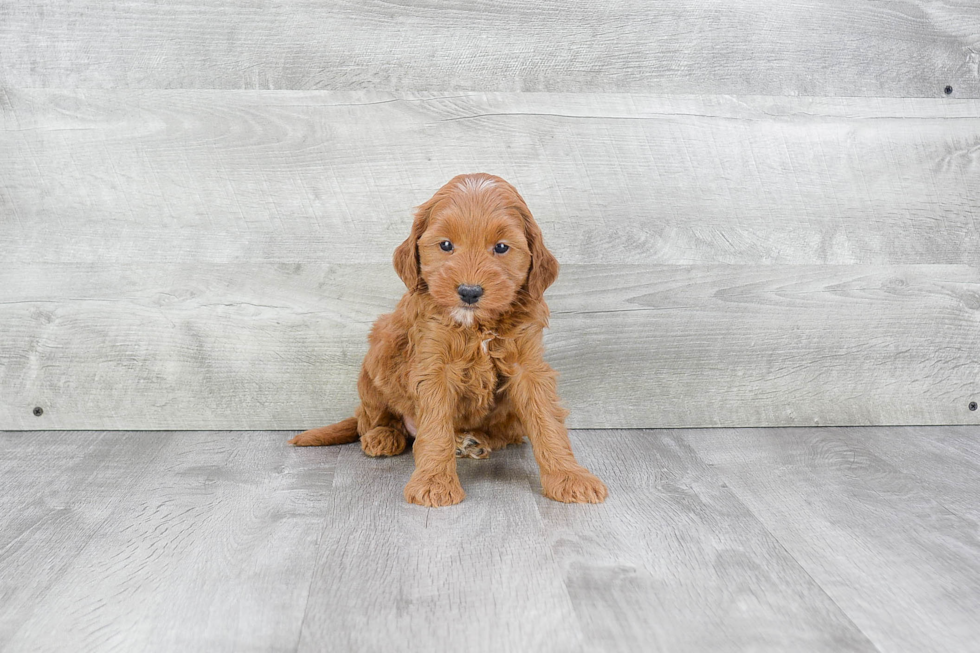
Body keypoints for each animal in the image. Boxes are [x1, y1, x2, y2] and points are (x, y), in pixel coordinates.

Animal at [290, 171, 608, 506]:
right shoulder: (434, 365)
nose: (469, 291)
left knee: (506, 434)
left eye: (501, 247)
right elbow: (435, 428)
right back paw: (384, 435)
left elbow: (546, 420)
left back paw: (473, 440)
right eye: (445, 245)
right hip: (378, 352)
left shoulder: (529, 367)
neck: (478, 325)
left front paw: (570, 477)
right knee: (369, 417)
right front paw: (434, 483)